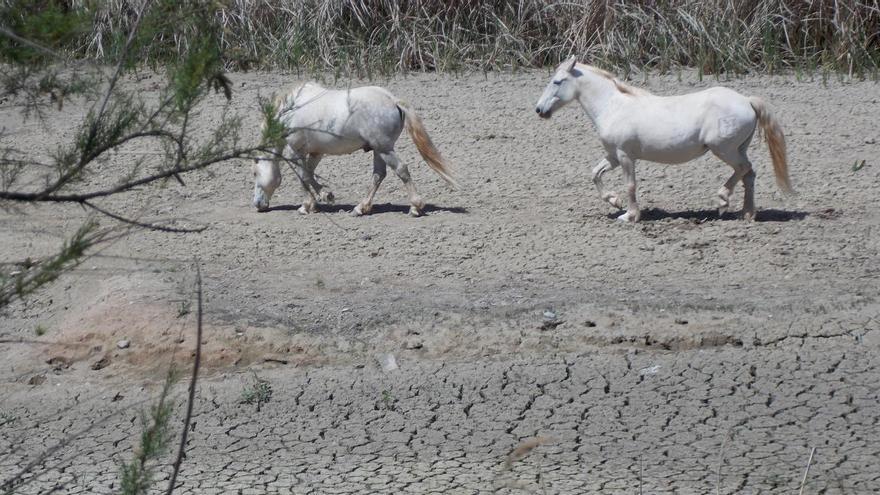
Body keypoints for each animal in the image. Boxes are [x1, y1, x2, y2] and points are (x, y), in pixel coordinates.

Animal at [253, 82, 460, 216]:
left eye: (255, 173)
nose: (257, 204)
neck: (289, 112)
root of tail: (392, 100)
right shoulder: (316, 152)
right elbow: (310, 174)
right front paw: (323, 197)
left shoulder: (294, 151)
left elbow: (303, 177)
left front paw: (307, 206)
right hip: (378, 150)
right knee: (378, 175)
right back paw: (361, 208)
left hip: (384, 149)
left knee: (401, 169)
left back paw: (415, 207)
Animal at [532, 55, 796, 223]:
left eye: (557, 82)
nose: (539, 110)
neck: (613, 106)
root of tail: (746, 100)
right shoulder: (613, 156)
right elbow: (595, 174)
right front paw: (614, 201)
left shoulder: (625, 156)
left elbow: (631, 185)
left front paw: (629, 216)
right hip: (737, 149)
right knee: (748, 175)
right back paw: (747, 214)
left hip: (724, 149)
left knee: (743, 170)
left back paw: (723, 201)